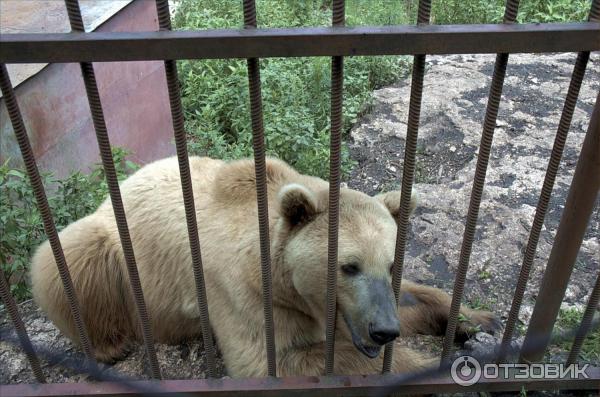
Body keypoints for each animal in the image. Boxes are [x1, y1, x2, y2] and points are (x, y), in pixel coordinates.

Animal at [31, 156, 502, 376]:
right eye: (349, 266)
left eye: (388, 264)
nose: (383, 330)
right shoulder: (245, 295)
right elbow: (279, 359)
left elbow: (415, 296)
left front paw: (479, 321)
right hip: (113, 252)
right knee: (64, 260)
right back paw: (111, 344)